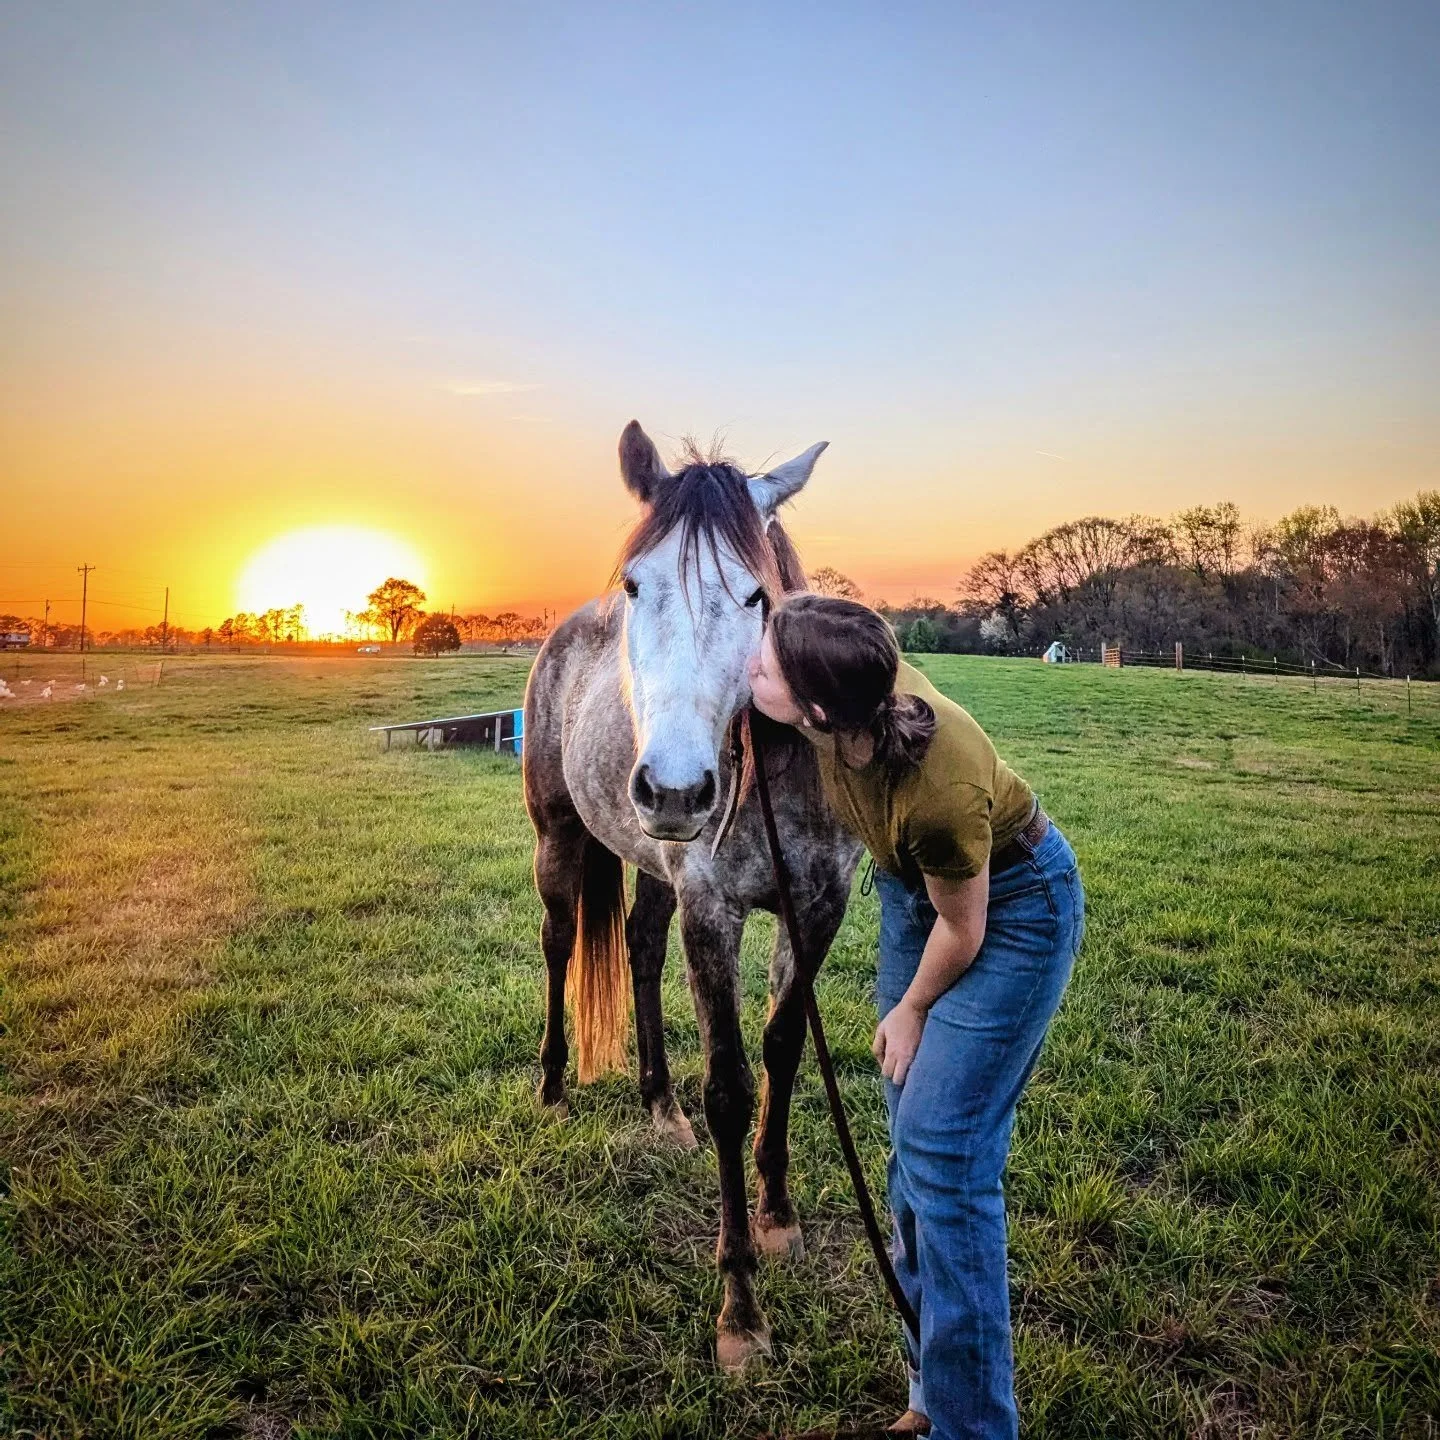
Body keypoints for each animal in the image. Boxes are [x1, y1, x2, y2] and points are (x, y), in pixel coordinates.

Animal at [522, 421, 863, 1370]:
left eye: (755, 596)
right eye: (639, 584)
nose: (675, 789)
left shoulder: (816, 909)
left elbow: (784, 1049)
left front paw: (777, 1213)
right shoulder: (713, 913)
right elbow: (730, 1088)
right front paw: (740, 1309)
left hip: (652, 866)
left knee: (638, 946)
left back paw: (658, 1105)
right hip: (559, 841)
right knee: (560, 944)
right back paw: (554, 1086)